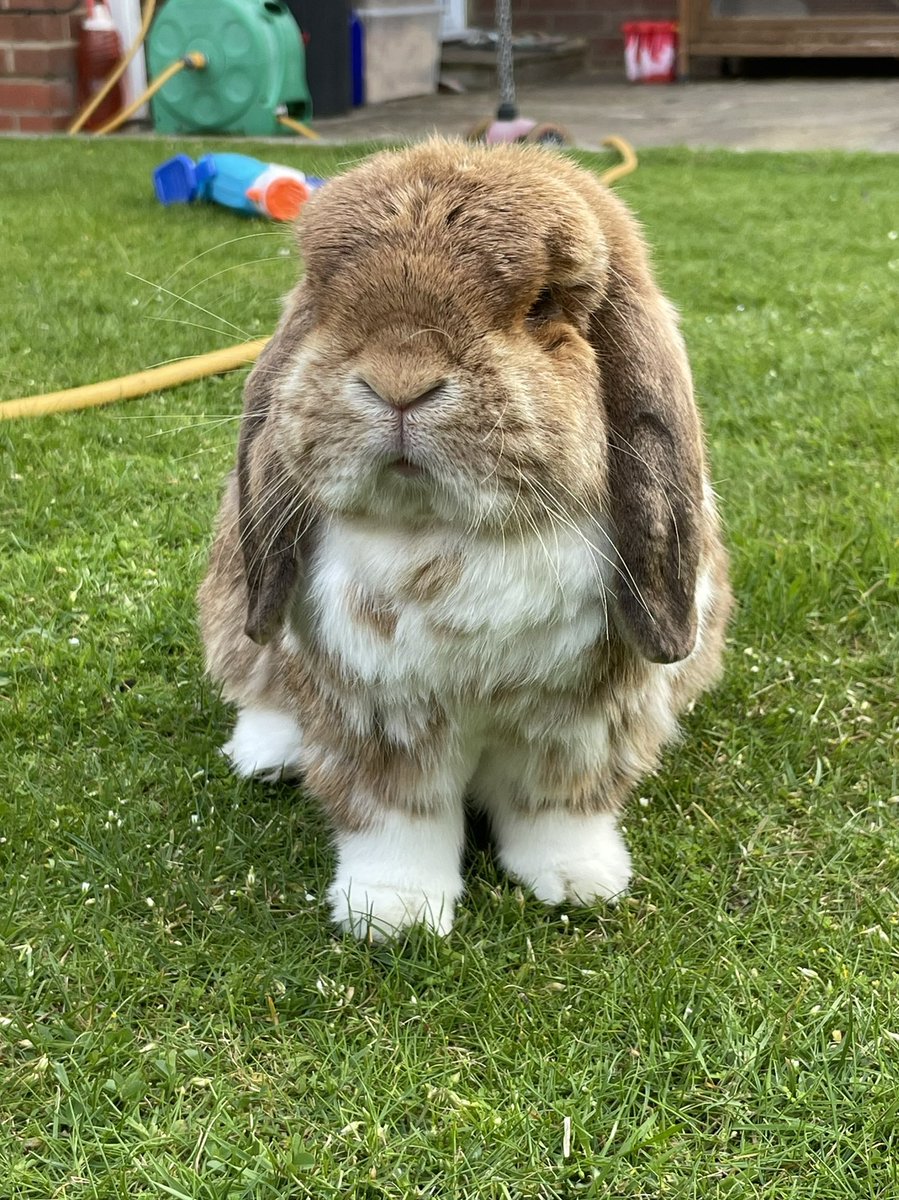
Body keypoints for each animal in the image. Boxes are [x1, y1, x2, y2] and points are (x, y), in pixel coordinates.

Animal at [198, 139, 732, 940]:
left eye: (540, 306)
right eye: (322, 297)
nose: (399, 383)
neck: (448, 535)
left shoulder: (577, 730)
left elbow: (556, 810)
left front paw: (578, 881)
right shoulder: (380, 721)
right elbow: (396, 820)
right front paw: (392, 915)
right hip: (238, 591)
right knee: (256, 681)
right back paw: (266, 754)